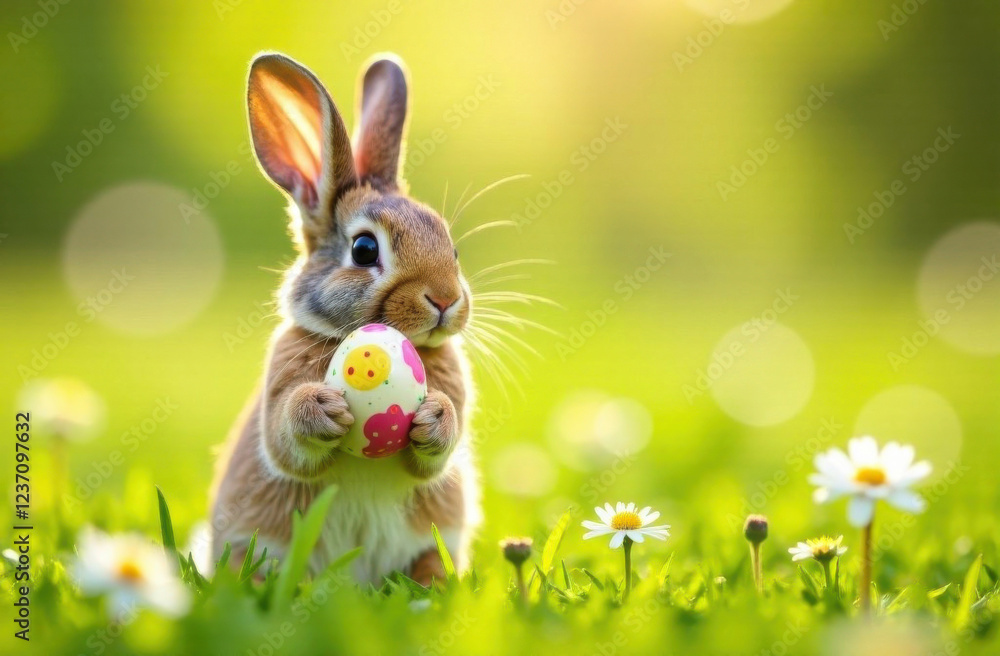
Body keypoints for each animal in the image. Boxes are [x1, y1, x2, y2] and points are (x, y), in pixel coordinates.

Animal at [209, 51, 480, 587]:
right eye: (364, 249)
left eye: (453, 249)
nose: (444, 299)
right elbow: (285, 441)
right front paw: (322, 409)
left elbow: (434, 455)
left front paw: (435, 417)